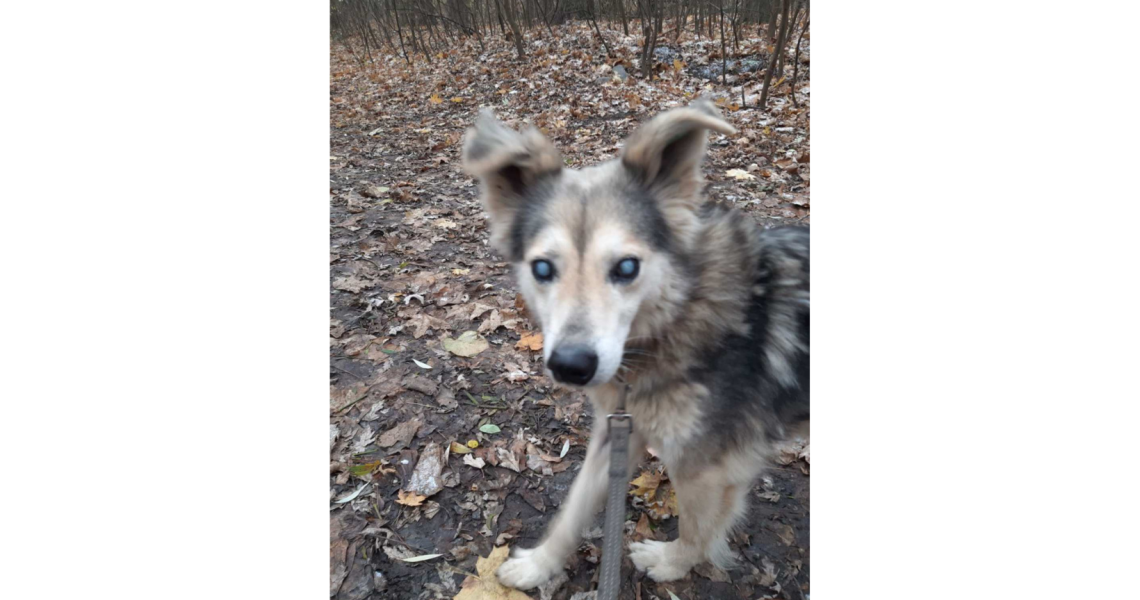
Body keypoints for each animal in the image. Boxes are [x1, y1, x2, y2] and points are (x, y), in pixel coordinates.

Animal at [458, 100, 807, 588]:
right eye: (542, 268)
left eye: (626, 267)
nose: (572, 365)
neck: (681, 310)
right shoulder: (618, 429)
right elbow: (572, 510)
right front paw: (540, 565)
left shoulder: (707, 467)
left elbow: (697, 530)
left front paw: (672, 564)